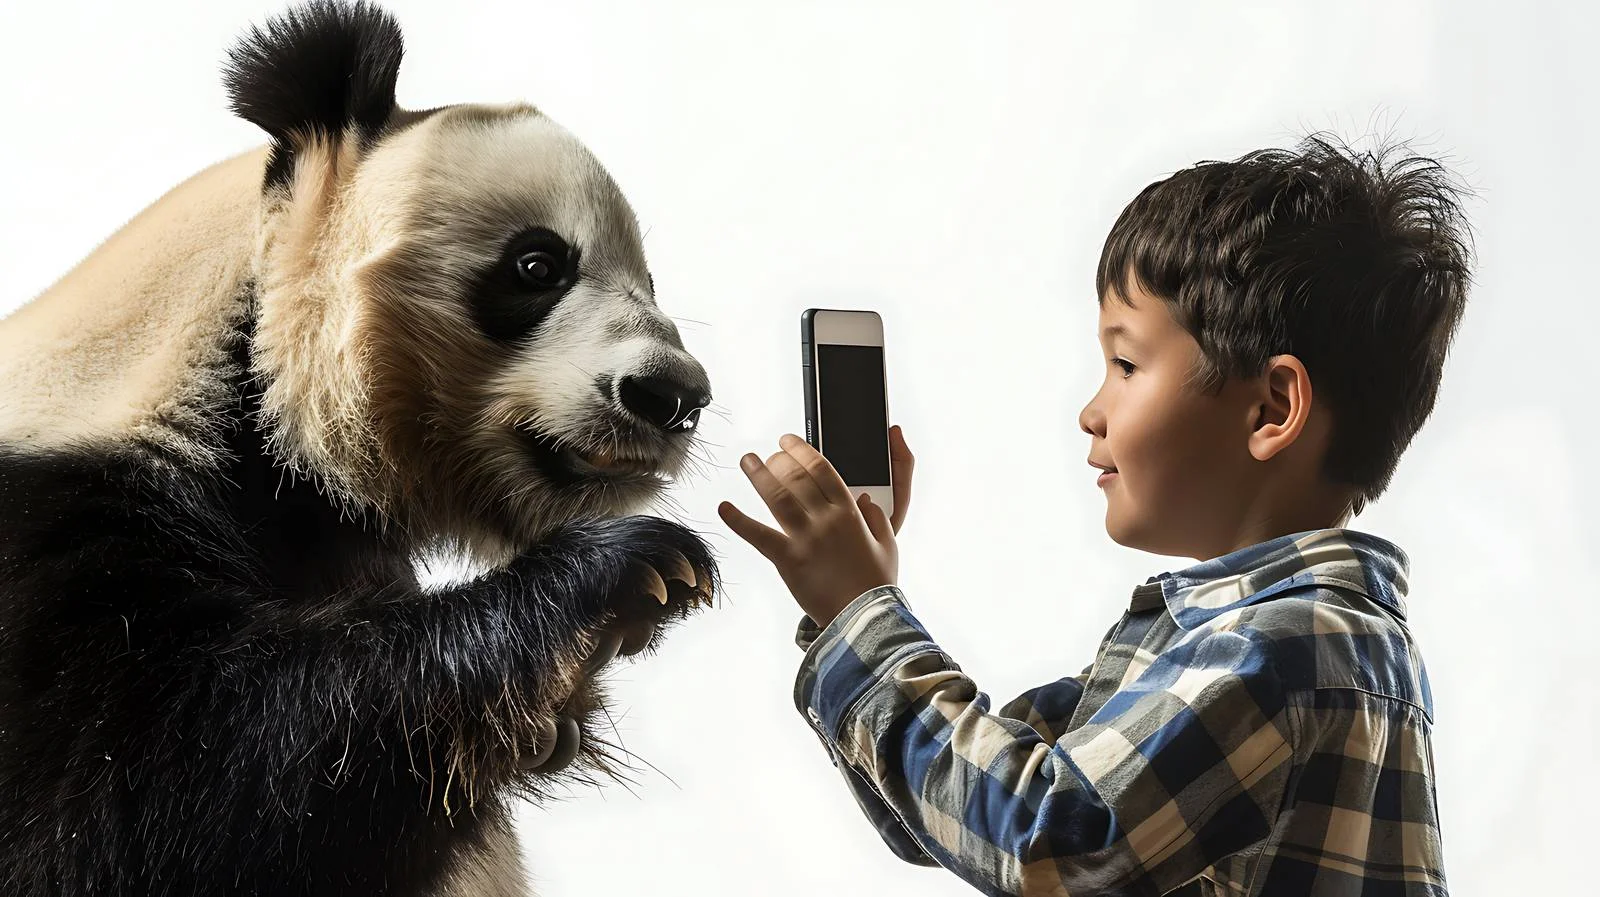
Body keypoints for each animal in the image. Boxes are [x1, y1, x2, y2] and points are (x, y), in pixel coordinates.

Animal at [0, 2, 720, 895]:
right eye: (537, 264)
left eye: (650, 283)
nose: (672, 395)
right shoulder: (52, 540)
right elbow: (147, 798)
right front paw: (627, 573)